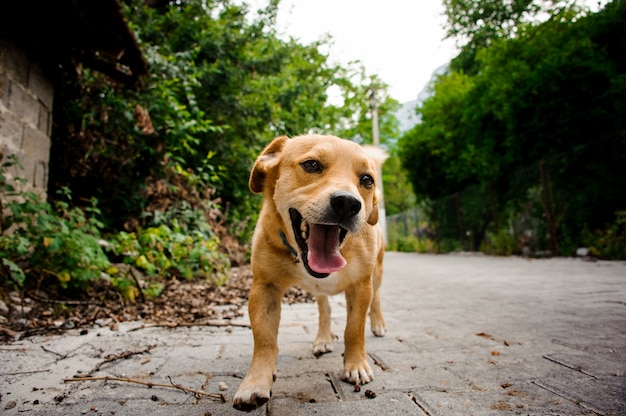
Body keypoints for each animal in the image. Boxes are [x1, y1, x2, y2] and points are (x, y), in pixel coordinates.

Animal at [230, 135, 386, 412]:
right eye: (311, 165)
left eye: (367, 179)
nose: (348, 203)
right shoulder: (264, 288)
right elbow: (264, 339)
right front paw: (255, 382)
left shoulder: (360, 286)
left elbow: (354, 329)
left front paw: (356, 365)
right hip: (319, 292)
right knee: (325, 308)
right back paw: (323, 338)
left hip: (376, 274)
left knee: (376, 298)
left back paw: (377, 323)